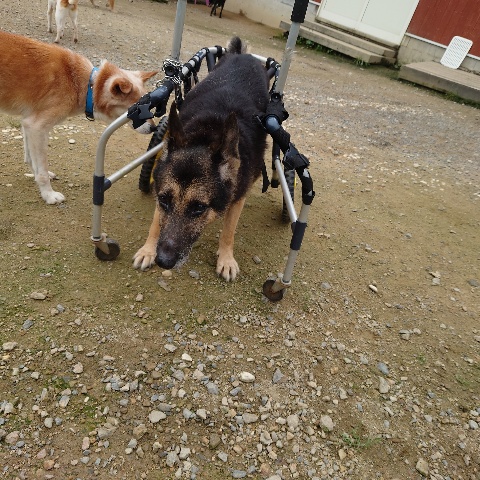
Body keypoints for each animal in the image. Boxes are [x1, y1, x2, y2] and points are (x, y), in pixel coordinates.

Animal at [0, 30, 157, 204]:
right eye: (138, 110)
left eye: (150, 106)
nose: (154, 128)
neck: (88, 85)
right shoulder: (37, 127)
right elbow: (41, 171)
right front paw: (48, 195)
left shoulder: (28, 123)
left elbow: (31, 160)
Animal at [133, 37, 269, 281]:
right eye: (164, 200)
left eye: (198, 208)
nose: (163, 261)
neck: (206, 136)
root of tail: (242, 55)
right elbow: (156, 222)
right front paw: (148, 249)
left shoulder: (238, 197)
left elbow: (229, 231)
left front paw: (226, 258)